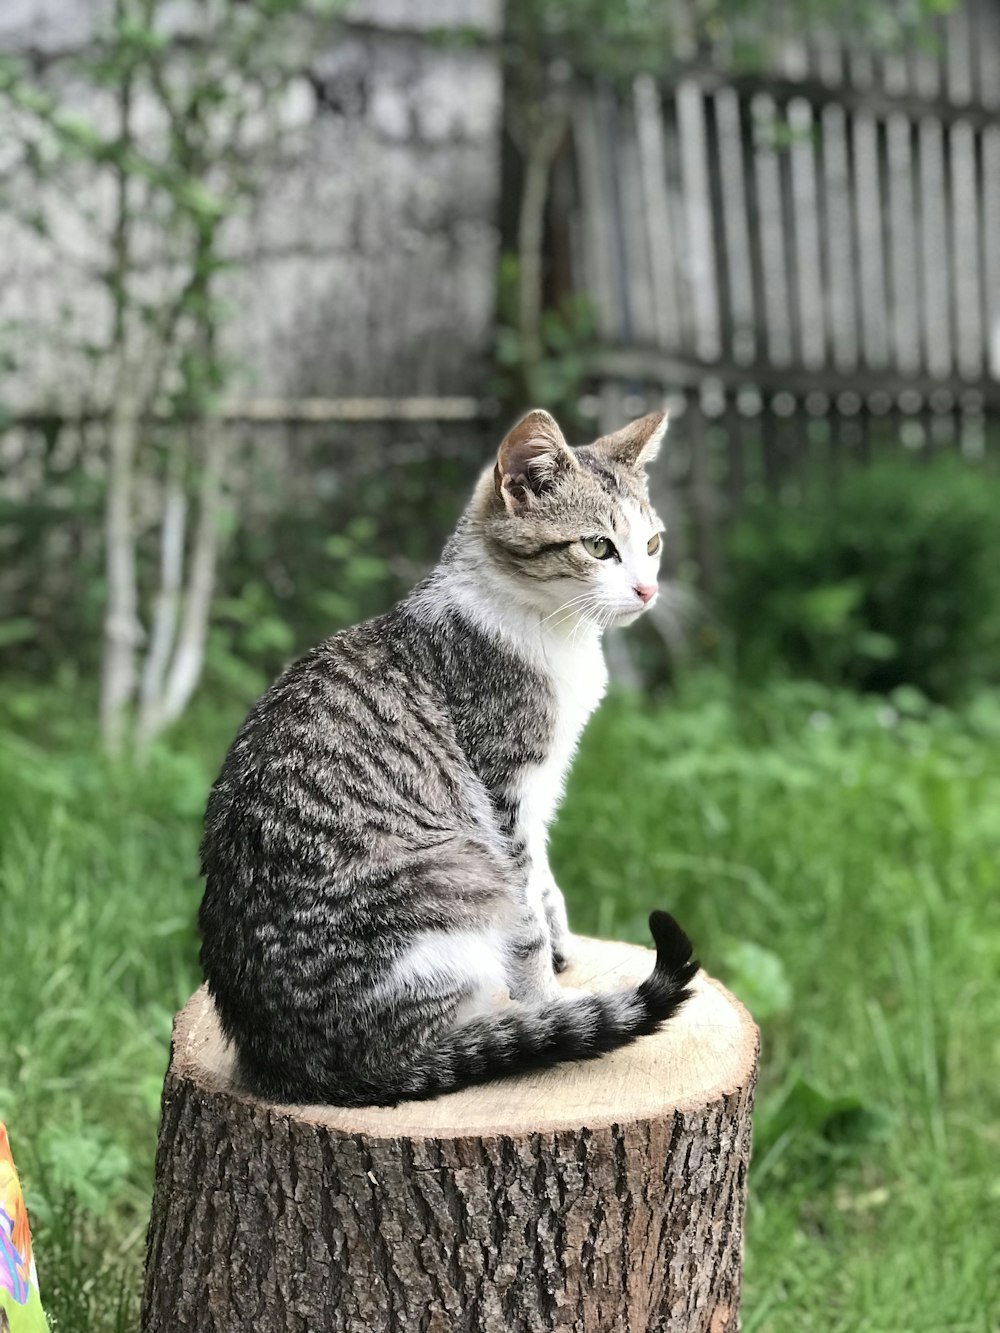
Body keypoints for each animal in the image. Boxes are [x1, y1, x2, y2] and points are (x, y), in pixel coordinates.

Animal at [196, 405, 698, 1103]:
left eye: (651, 544)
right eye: (599, 547)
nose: (648, 592)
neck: (553, 632)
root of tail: (302, 1065)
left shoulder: (540, 794)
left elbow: (545, 882)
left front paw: (563, 948)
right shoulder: (502, 790)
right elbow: (525, 915)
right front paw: (546, 998)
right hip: (458, 870)